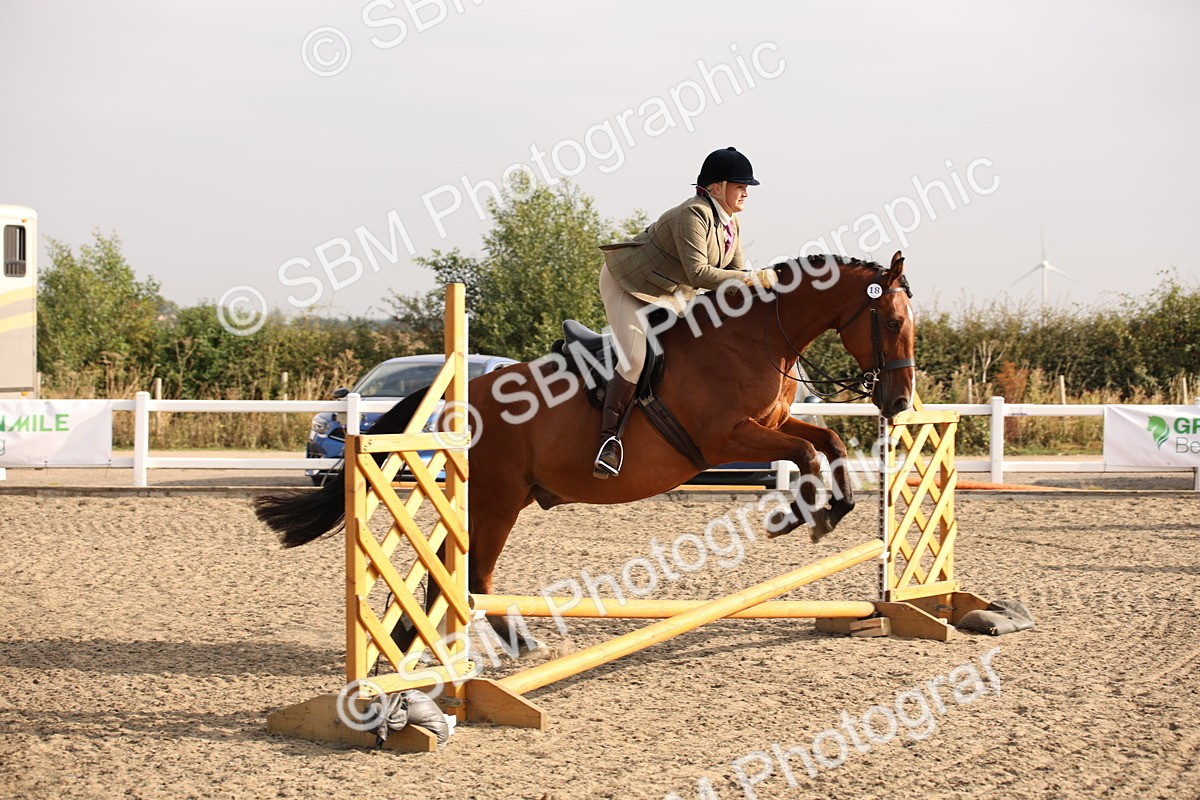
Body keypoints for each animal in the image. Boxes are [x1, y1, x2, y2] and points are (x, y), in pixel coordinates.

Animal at [255, 251, 915, 653]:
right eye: (890, 322)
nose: (900, 402)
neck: (754, 336)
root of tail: (457, 398)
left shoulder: (770, 423)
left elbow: (826, 441)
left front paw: (832, 509)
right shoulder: (725, 437)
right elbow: (804, 456)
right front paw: (801, 516)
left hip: (497, 498)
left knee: (452, 569)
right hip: (497, 500)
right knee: (473, 571)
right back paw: (508, 641)